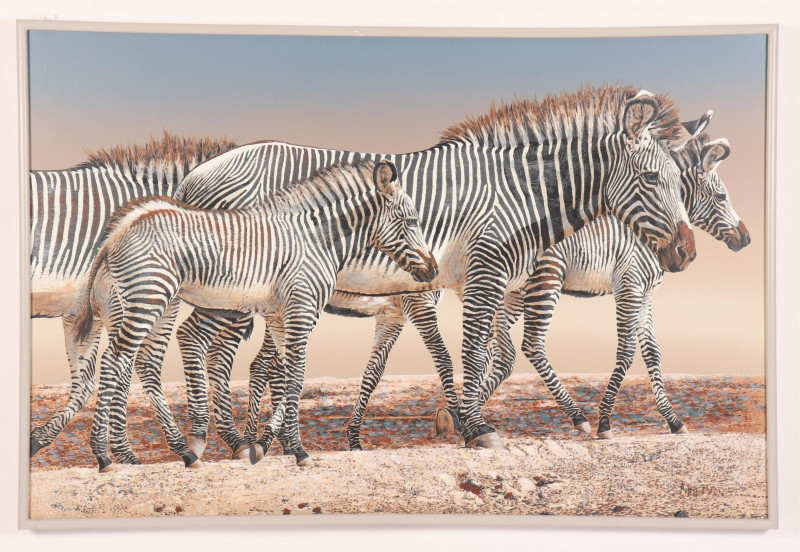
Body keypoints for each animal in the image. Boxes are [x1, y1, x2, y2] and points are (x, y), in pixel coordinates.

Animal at [29, 132, 238, 457]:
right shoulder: (121, 302)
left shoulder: (79, 312)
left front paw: (42, 438)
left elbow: (86, 382)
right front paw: (125, 451)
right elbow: (129, 367)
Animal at [71, 160, 438, 472]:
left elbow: (285, 373)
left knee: (136, 363)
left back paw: (182, 453)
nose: (433, 270)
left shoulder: (278, 314)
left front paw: (272, 443)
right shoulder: (302, 307)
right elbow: (297, 375)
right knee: (115, 361)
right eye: (412, 222)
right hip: (147, 298)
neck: (316, 239)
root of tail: (117, 232)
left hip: (151, 304)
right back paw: (105, 456)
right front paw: (298, 450)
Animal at [104, 85, 701, 461]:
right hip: (233, 284)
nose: (686, 252)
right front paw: (475, 427)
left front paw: (459, 421)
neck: (519, 192)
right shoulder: (483, 272)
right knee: (196, 343)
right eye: (652, 178)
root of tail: (196, 175)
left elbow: (463, 355)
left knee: (197, 343)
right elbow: (472, 351)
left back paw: (227, 441)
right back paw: (212, 441)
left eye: (679, 181)